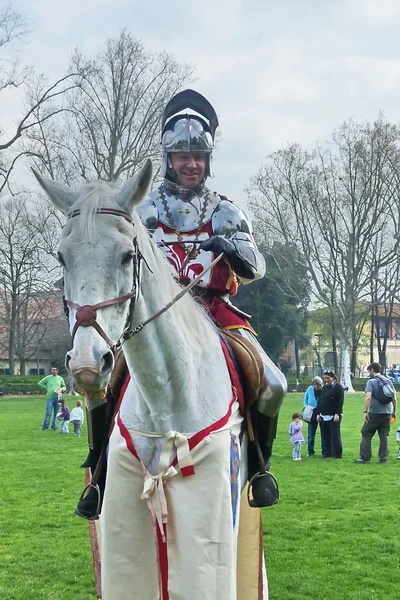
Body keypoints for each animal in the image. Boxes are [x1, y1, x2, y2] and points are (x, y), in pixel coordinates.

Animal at [32, 162, 268, 600]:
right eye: (62, 257)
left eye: (128, 256)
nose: (88, 365)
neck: (169, 395)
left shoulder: (210, 509)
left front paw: (224, 245)